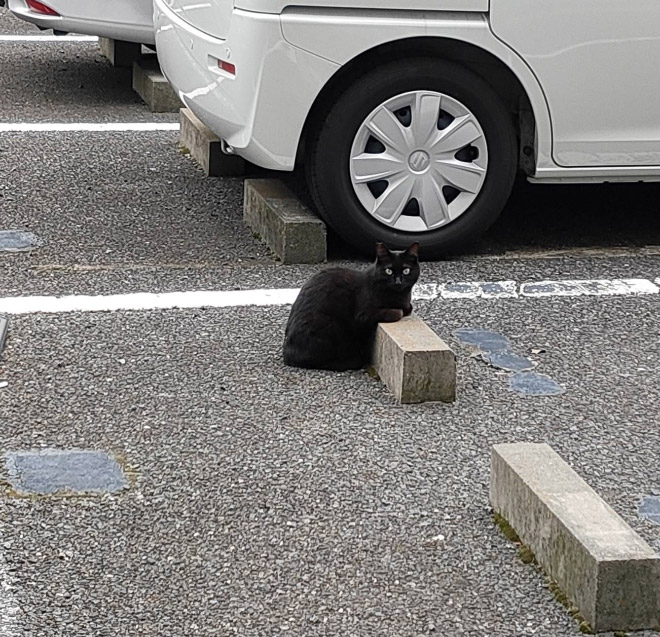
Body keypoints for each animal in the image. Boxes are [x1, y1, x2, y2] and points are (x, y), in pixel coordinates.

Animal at [282, 243, 418, 372]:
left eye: (406, 271)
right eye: (388, 271)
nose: (398, 282)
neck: (399, 295)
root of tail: (287, 353)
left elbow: (408, 307)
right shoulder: (363, 315)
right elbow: (398, 312)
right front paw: (399, 310)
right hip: (332, 326)